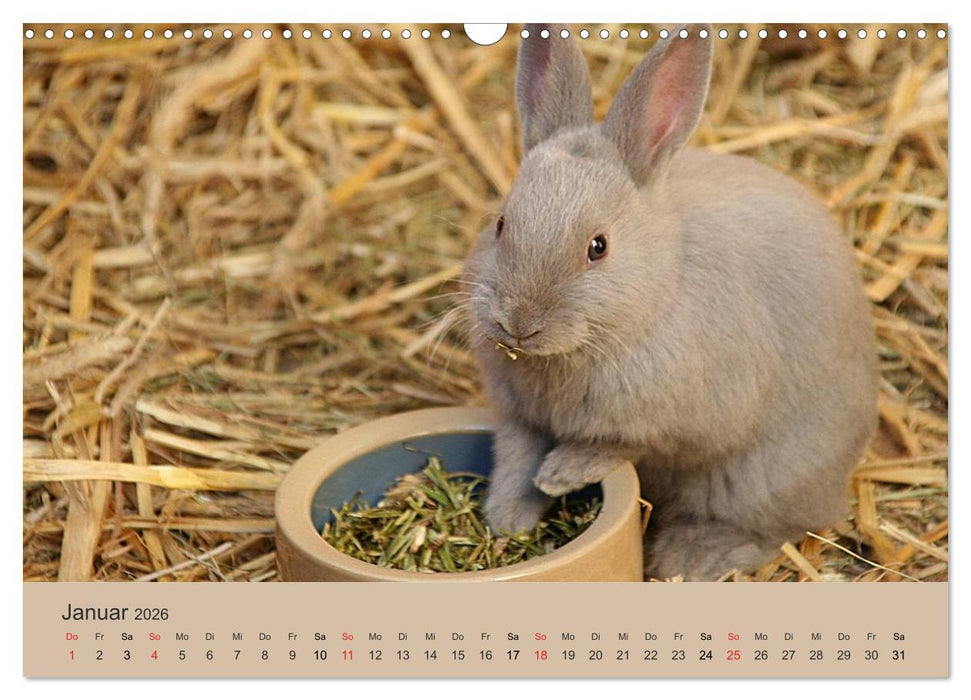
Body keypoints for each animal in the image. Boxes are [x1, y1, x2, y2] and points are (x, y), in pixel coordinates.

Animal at [461, 23, 879, 581]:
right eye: (502, 224)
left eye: (598, 247)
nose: (518, 324)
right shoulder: (519, 416)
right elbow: (515, 460)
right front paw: (509, 519)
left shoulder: (685, 421)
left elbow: (624, 443)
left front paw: (561, 474)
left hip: (759, 481)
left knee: (777, 526)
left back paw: (691, 558)